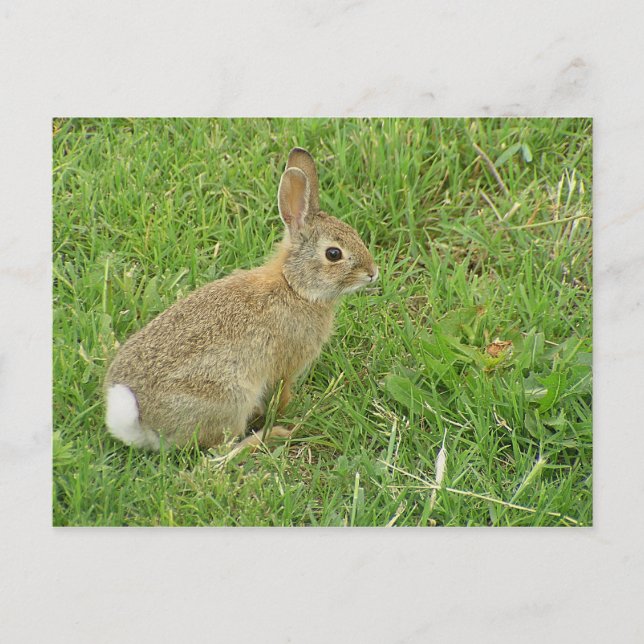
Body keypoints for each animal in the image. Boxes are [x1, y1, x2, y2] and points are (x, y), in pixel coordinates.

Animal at [104, 147, 378, 450]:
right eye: (333, 254)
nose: (372, 273)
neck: (294, 287)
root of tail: (144, 425)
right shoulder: (285, 366)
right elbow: (282, 394)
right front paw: (287, 415)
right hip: (231, 396)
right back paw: (270, 436)